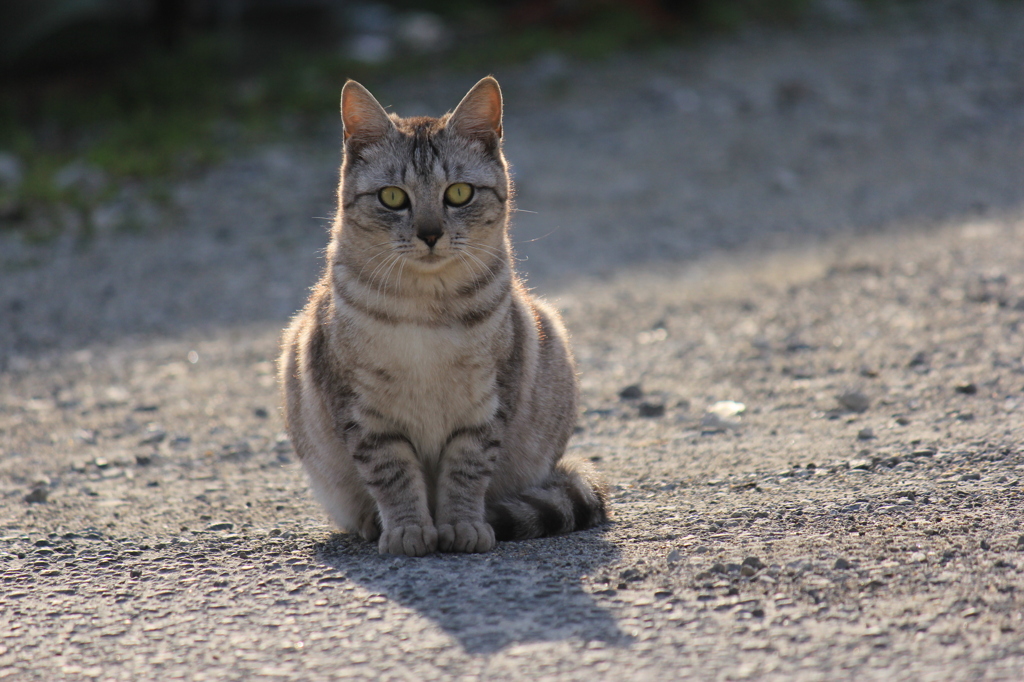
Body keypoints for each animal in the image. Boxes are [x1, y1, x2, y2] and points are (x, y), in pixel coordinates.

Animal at [276, 75, 606, 552]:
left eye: (459, 193)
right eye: (393, 197)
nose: (430, 233)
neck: (426, 308)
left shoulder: (486, 403)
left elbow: (465, 471)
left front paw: (462, 526)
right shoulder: (363, 411)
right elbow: (392, 474)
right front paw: (408, 530)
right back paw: (372, 523)